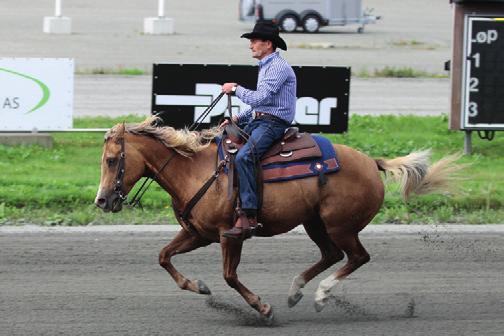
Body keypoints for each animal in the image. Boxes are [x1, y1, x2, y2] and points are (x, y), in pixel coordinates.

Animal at [94, 119, 460, 320]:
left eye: (112, 160)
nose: (102, 200)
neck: (194, 170)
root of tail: (372, 162)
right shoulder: (198, 233)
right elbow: (163, 256)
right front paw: (198, 286)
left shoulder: (230, 235)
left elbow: (230, 276)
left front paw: (262, 309)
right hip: (315, 223)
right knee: (332, 255)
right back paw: (296, 291)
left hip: (340, 225)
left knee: (356, 257)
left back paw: (321, 295)